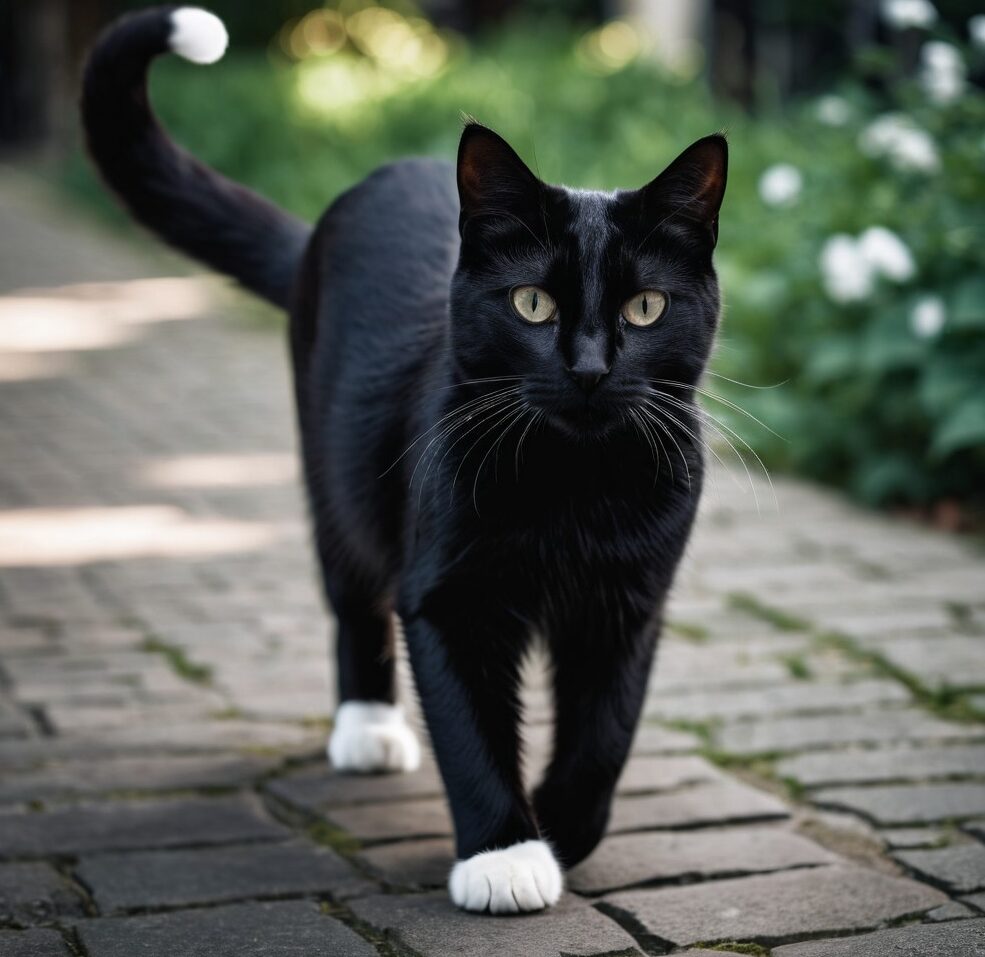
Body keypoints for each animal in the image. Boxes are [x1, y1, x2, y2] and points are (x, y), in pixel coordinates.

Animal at [84, 7, 728, 916]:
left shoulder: (629, 602)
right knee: (353, 589)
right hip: (332, 469)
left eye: (645, 307)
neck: (573, 481)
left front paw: (561, 827)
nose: (589, 369)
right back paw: (367, 727)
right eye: (532, 302)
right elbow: (468, 721)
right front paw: (505, 854)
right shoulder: (448, 593)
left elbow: (606, 730)